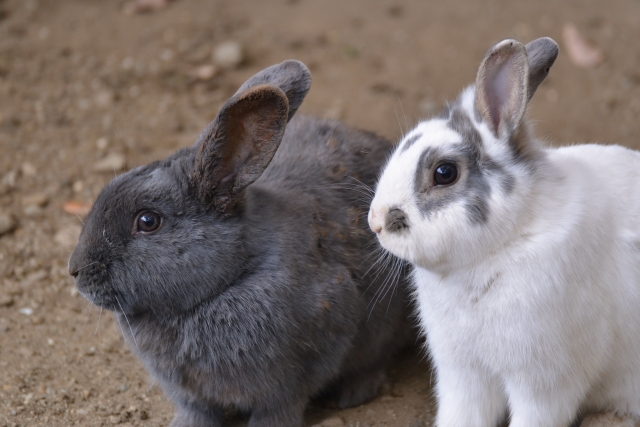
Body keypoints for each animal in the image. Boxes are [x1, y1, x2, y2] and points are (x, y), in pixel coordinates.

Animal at [67, 61, 412, 427]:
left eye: (147, 221)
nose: (75, 270)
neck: (235, 274)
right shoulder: (191, 395)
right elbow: (197, 412)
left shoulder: (297, 375)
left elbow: (279, 409)